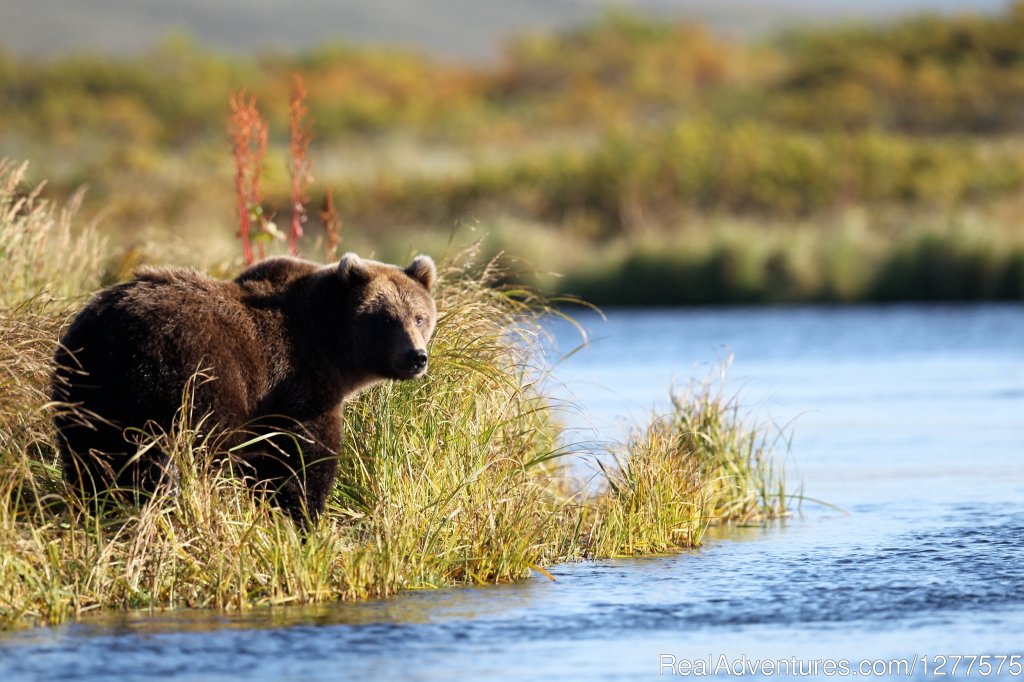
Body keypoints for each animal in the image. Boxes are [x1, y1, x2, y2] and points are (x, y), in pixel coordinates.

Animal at [51, 251, 436, 522]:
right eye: (385, 319)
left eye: (420, 317)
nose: (416, 356)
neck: (328, 343)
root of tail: (105, 336)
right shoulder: (299, 385)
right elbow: (303, 457)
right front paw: (304, 514)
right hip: (184, 375)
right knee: (178, 451)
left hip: (85, 389)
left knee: (88, 456)